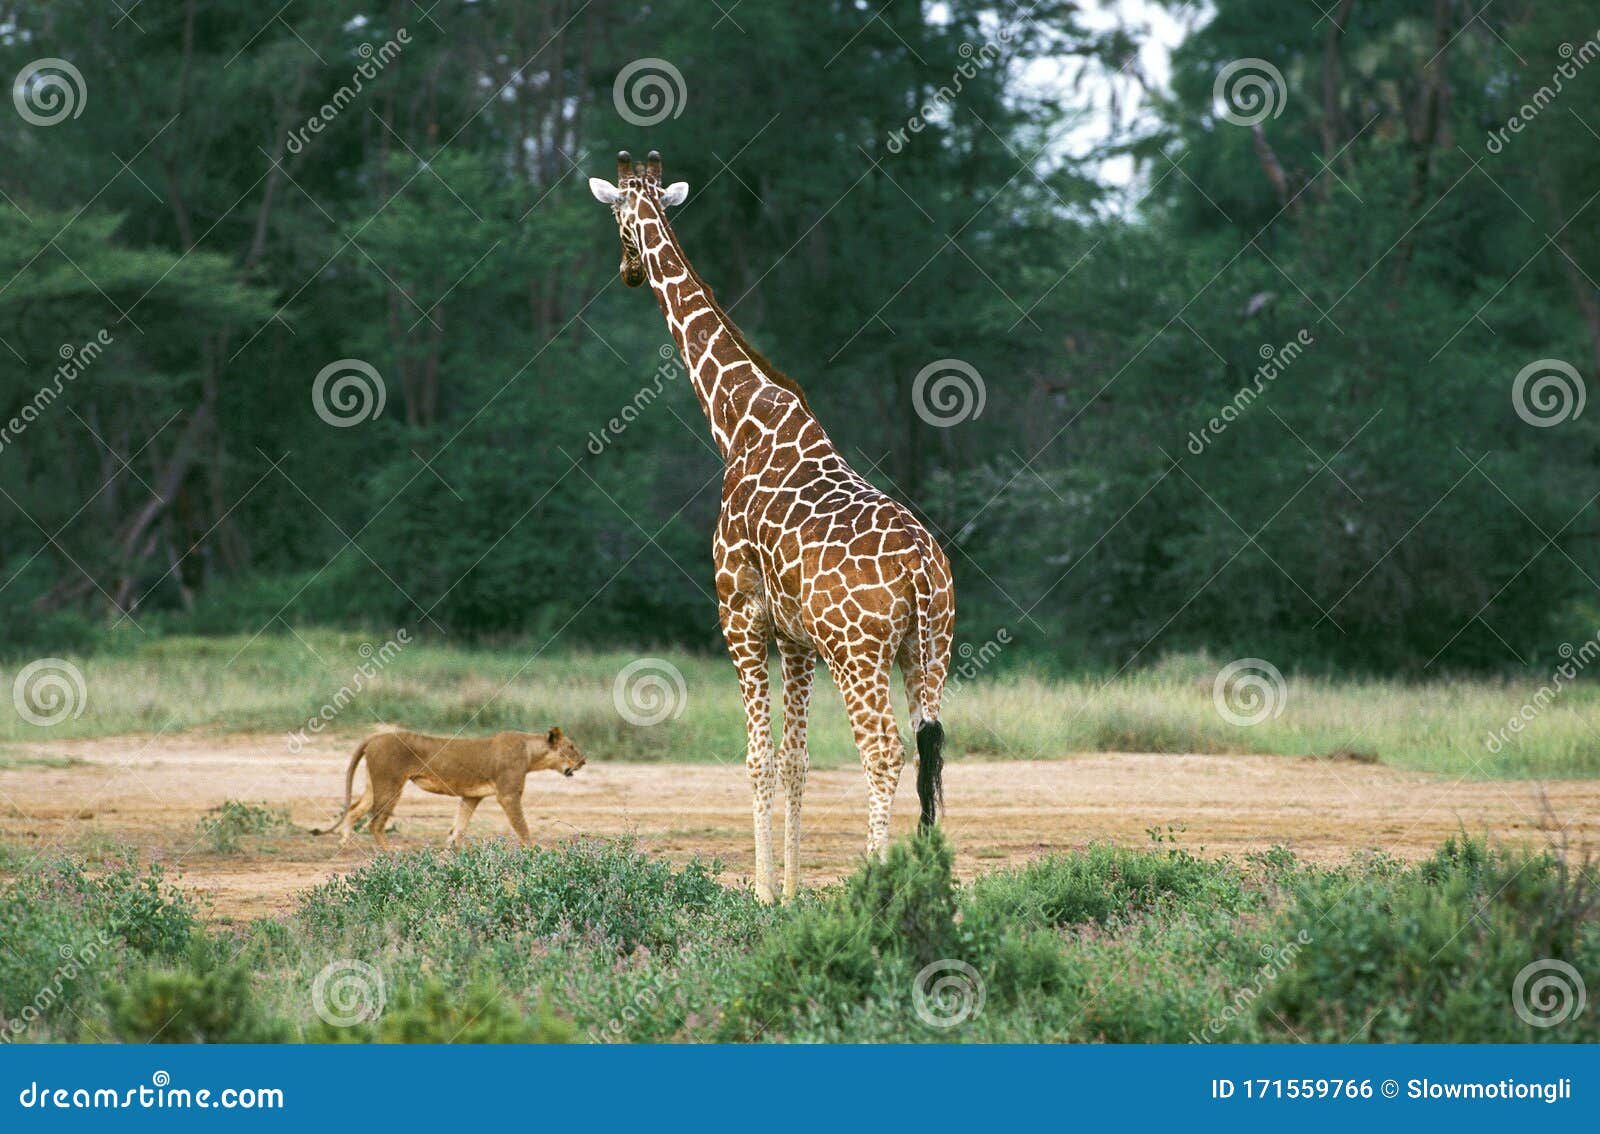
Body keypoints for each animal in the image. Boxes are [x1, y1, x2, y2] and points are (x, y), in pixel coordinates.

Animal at [595, 150, 953, 895]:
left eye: (616, 219)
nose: (628, 269)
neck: (739, 422)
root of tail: (922, 570)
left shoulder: (741, 616)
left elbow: (757, 759)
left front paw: (761, 895)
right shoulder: (795, 639)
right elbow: (795, 762)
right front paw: (791, 895)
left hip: (860, 653)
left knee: (885, 751)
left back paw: (877, 883)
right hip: (929, 650)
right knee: (933, 748)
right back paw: (931, 880)